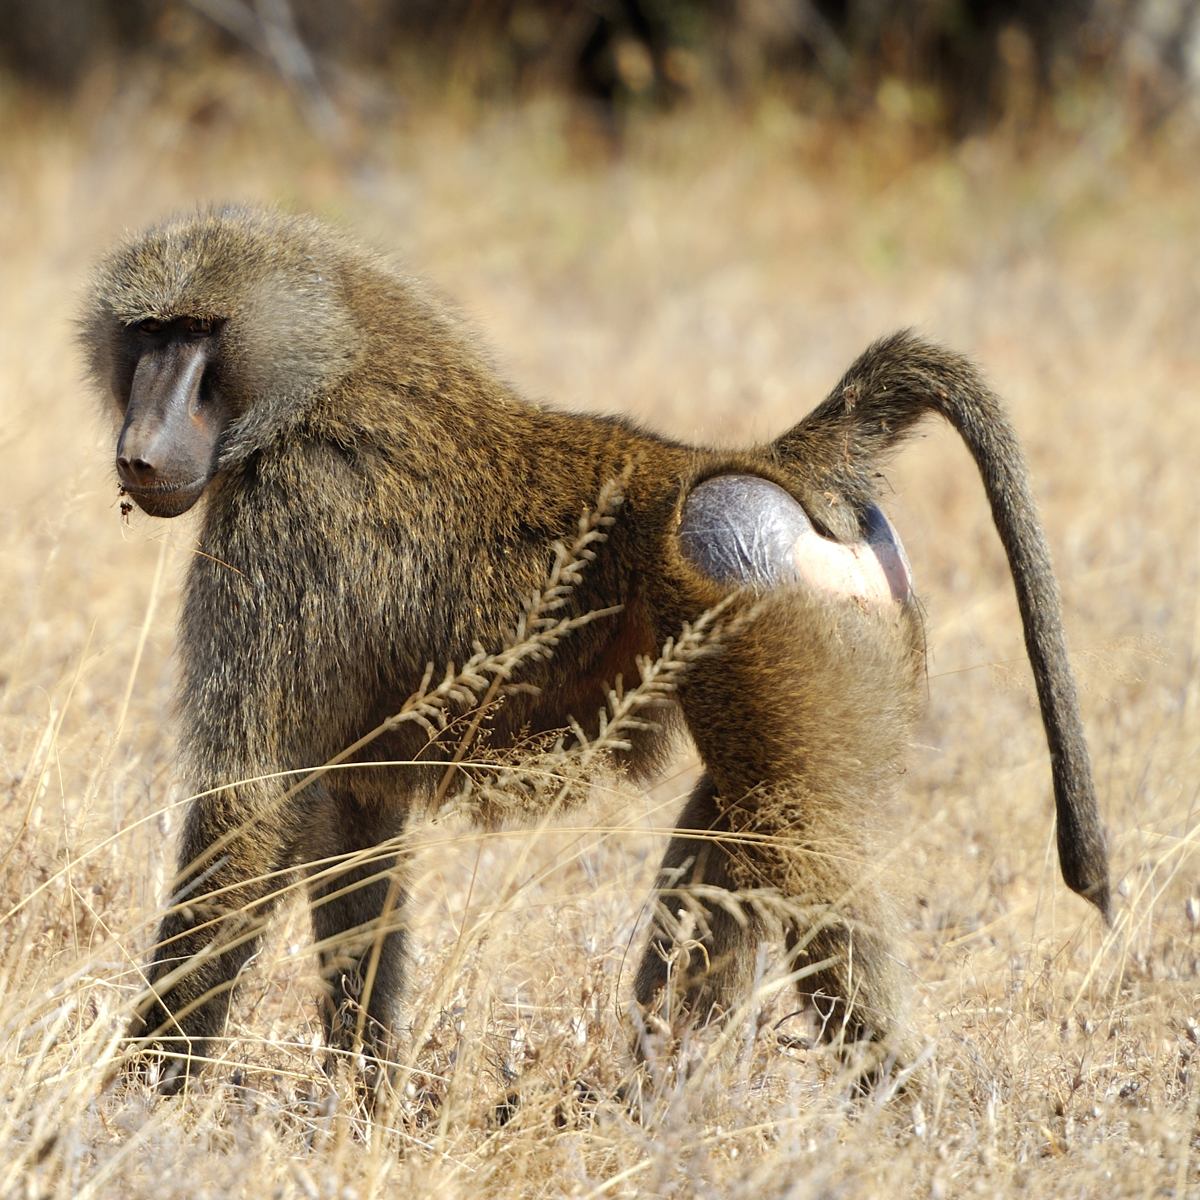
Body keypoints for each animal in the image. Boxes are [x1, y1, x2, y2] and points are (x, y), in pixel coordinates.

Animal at [81, 206, 1109, 1094]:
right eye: (149, 334)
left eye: (199, 333)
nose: (140, 451)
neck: (319, 375)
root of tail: (776, 464)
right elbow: (348, 821)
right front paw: (363, 1099)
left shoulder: (283, 522)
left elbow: (247, 802)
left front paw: (137, 1099)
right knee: (737, 836)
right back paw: (662, 1106)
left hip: (753, 588)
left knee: (797, 853)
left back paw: (900, 1112)